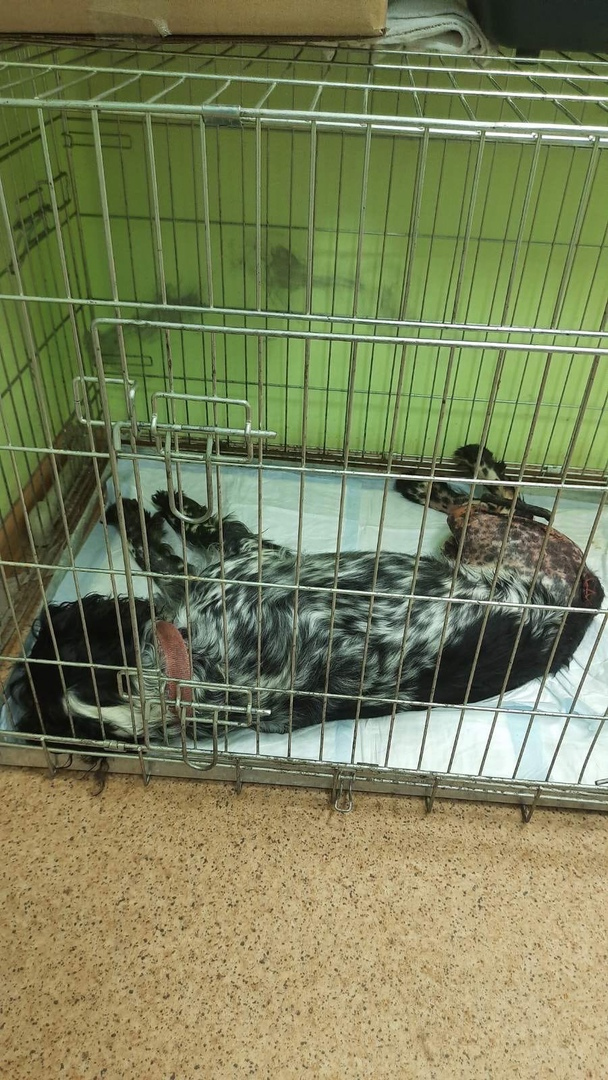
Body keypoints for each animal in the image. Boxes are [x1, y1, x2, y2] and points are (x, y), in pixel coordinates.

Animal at [5, 445, 603, 748]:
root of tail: (583, 608)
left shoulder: (242, 561)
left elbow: (177, 542)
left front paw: (155, 508)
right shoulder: (229, 572)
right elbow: (166, 552)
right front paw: (143, 512)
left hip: (487, 538)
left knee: (508, 498)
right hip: (484, 536)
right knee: (498, 499)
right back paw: (430, 479)